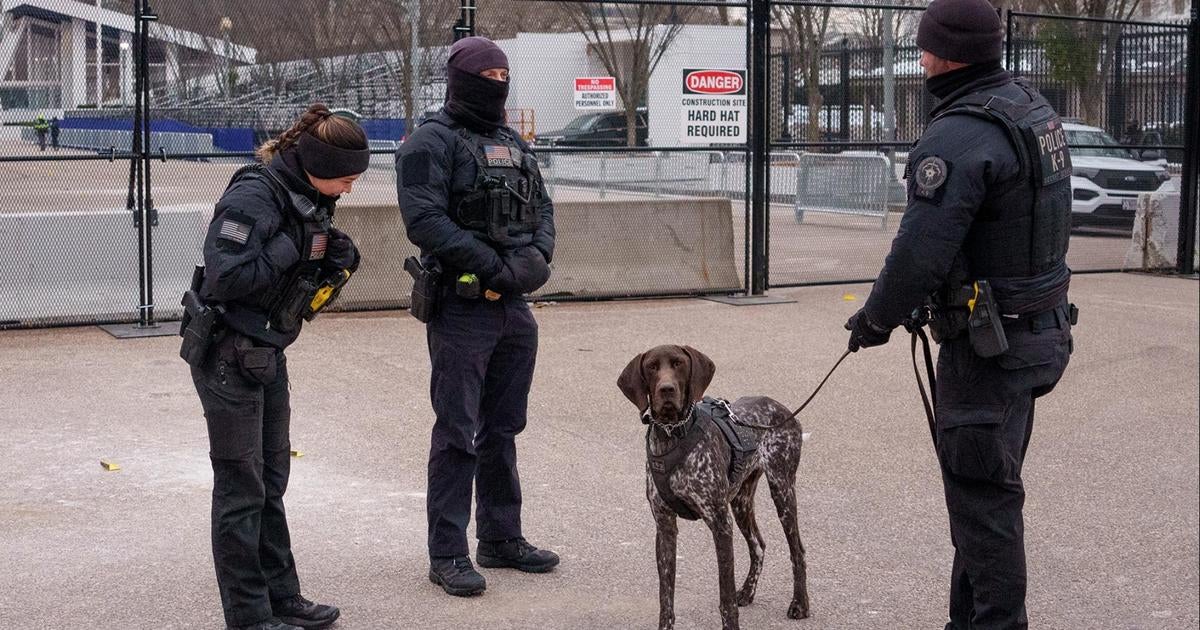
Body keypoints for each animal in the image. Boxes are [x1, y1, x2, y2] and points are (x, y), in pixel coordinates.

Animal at [619, 343, 806, 628]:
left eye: (679, 363)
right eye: (651, 367)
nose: (666, 389)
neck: (673, 434)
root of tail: (782, 409)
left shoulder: (720, 523)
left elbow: (725, 599)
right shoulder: (665, 526)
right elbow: (666, 598)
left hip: (782, 490)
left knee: (798, 551)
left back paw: (800, 604)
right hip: (741, 501)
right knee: (758, 545)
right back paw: (748, 591)